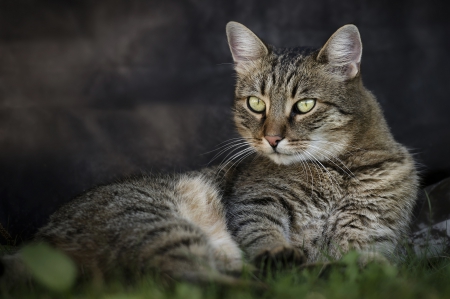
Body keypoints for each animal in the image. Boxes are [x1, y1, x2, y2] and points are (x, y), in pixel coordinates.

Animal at [0, 21, 418, 286]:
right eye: (255, 103)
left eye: (304, 106)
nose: (271, 139)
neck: (339, 169)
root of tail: (37, 245)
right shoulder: (256, 203)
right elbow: (264, 235)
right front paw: (285, 255)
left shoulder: (371, 231)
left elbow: (362, 255)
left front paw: (362, 266)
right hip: (156, 221)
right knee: (196, 280)